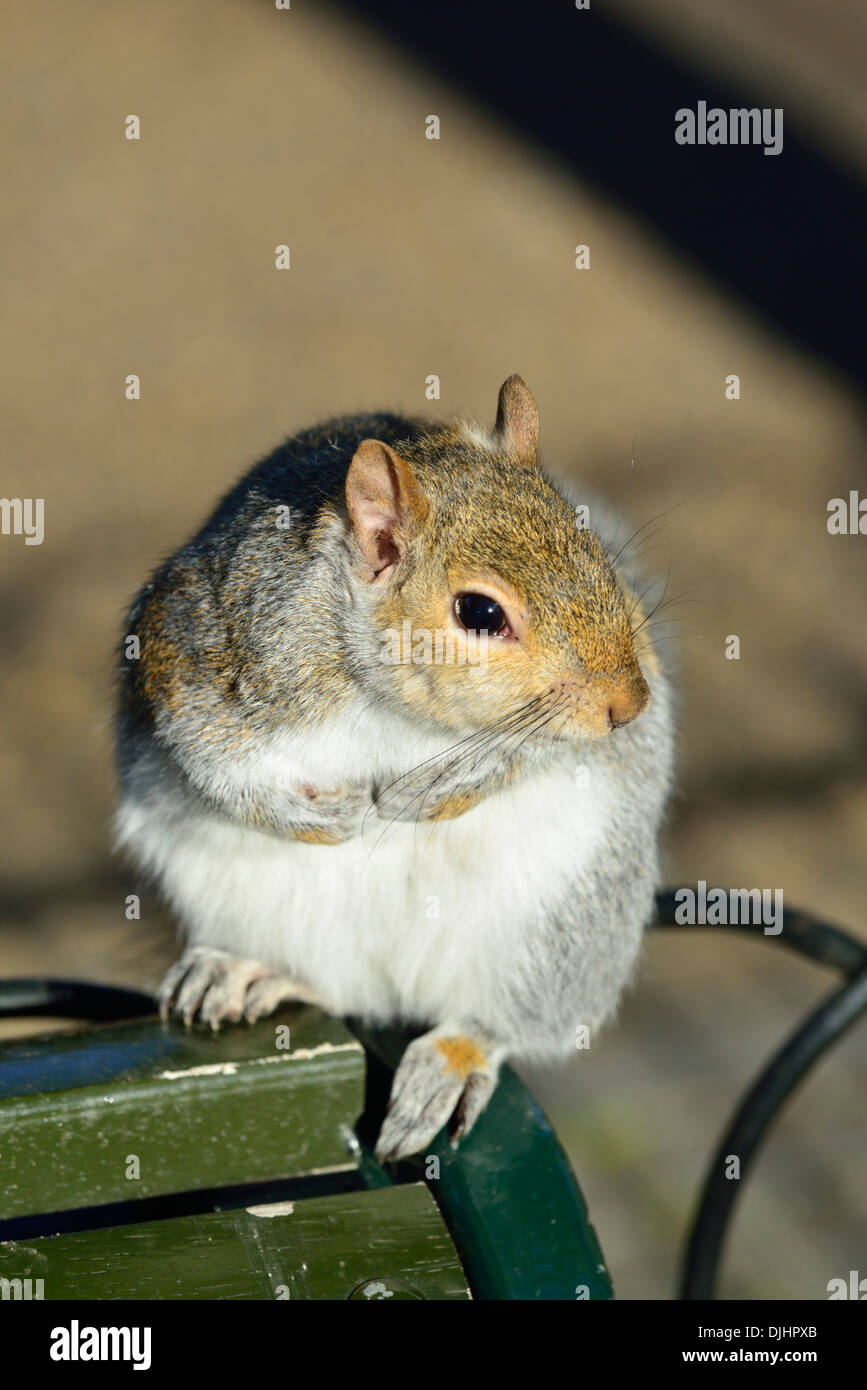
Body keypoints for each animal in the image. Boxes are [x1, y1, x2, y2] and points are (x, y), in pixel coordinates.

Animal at [115, 376, 674, 1162]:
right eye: (479, 612)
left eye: (594, 550)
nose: (628, 703)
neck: (393, 706)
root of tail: (394, 989)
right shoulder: (198, 645)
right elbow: (205, 751)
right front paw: (324, 815)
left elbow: (540, 748)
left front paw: (436, 788)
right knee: (332, 985)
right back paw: (247, 970)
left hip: (564, 924)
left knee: (499, 1018)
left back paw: (454, 1058)